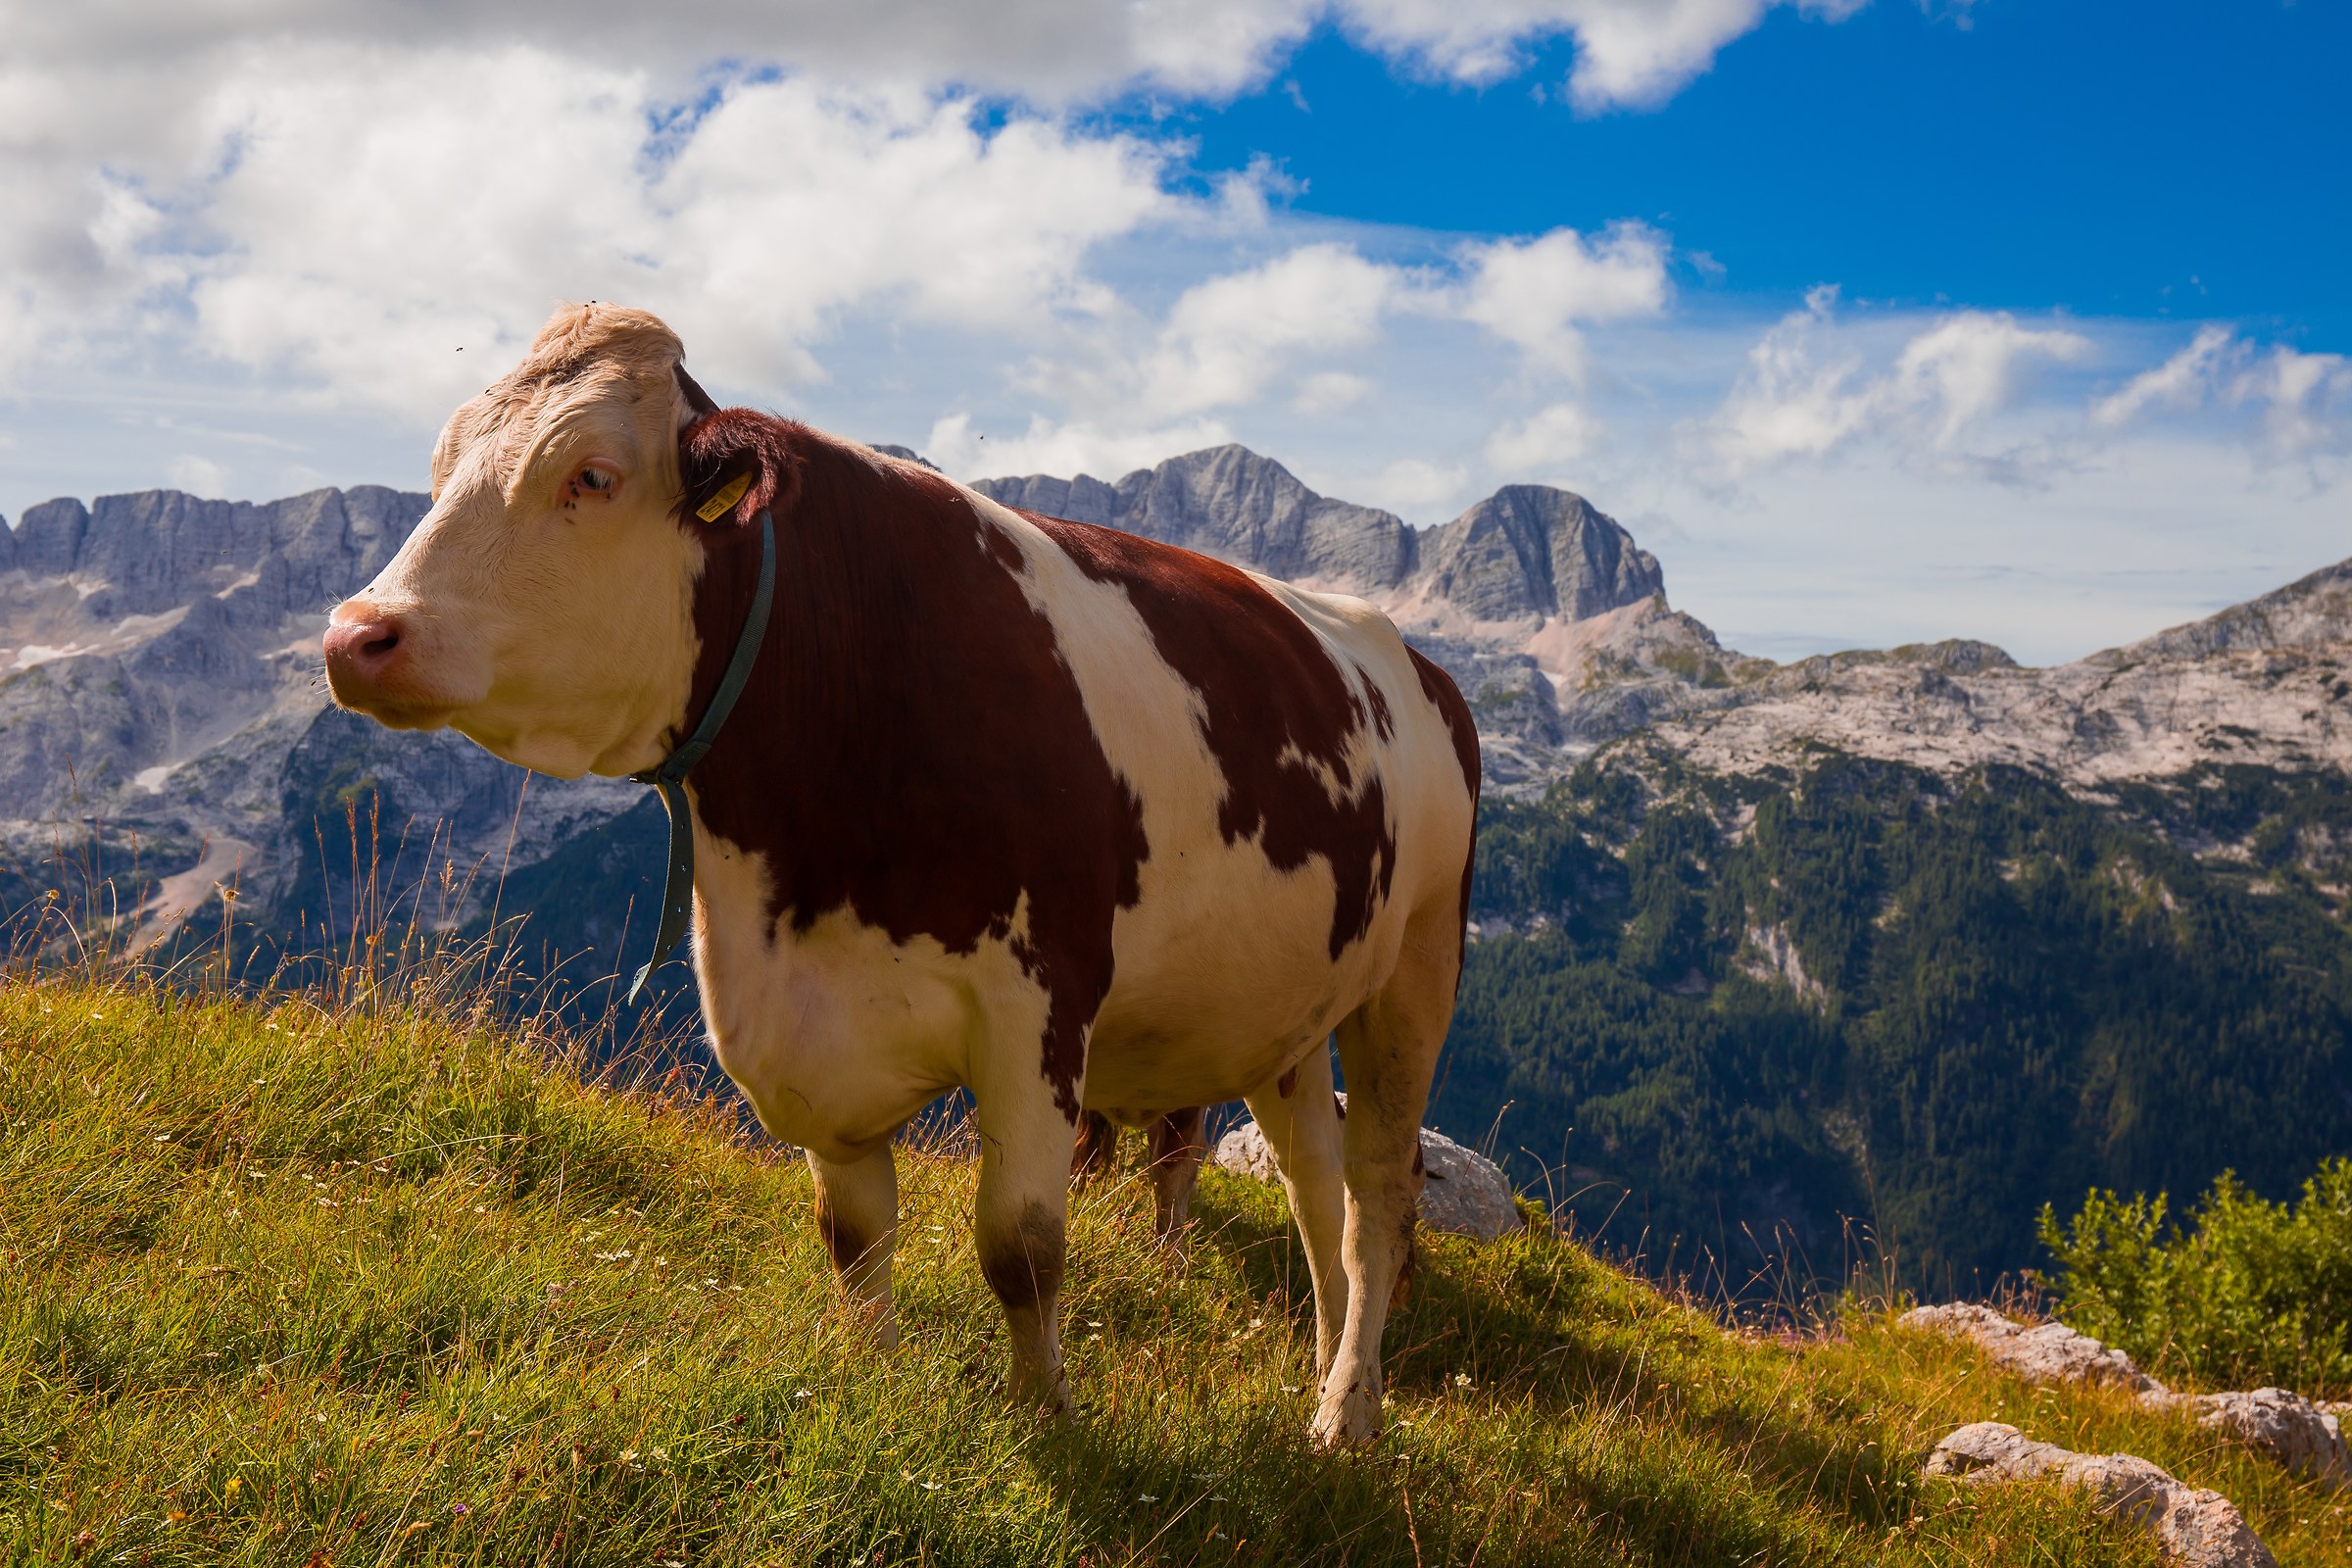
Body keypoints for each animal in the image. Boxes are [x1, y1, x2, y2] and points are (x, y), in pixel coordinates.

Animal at [322, 302, 1480, 1448]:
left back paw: (1349, 1414)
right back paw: (1327, 1373)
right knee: (1315, 1187)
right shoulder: (806, 1028)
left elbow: (1020, 1243)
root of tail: (1413, 661)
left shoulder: (1038, 1006)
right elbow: (854, 1231)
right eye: (440, 467)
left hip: (1416, 971)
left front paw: (1047, 1416)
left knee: (1379, 1196)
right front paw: (869, 1377)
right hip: (1288, 1011)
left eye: (593, 476)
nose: (356, 635)